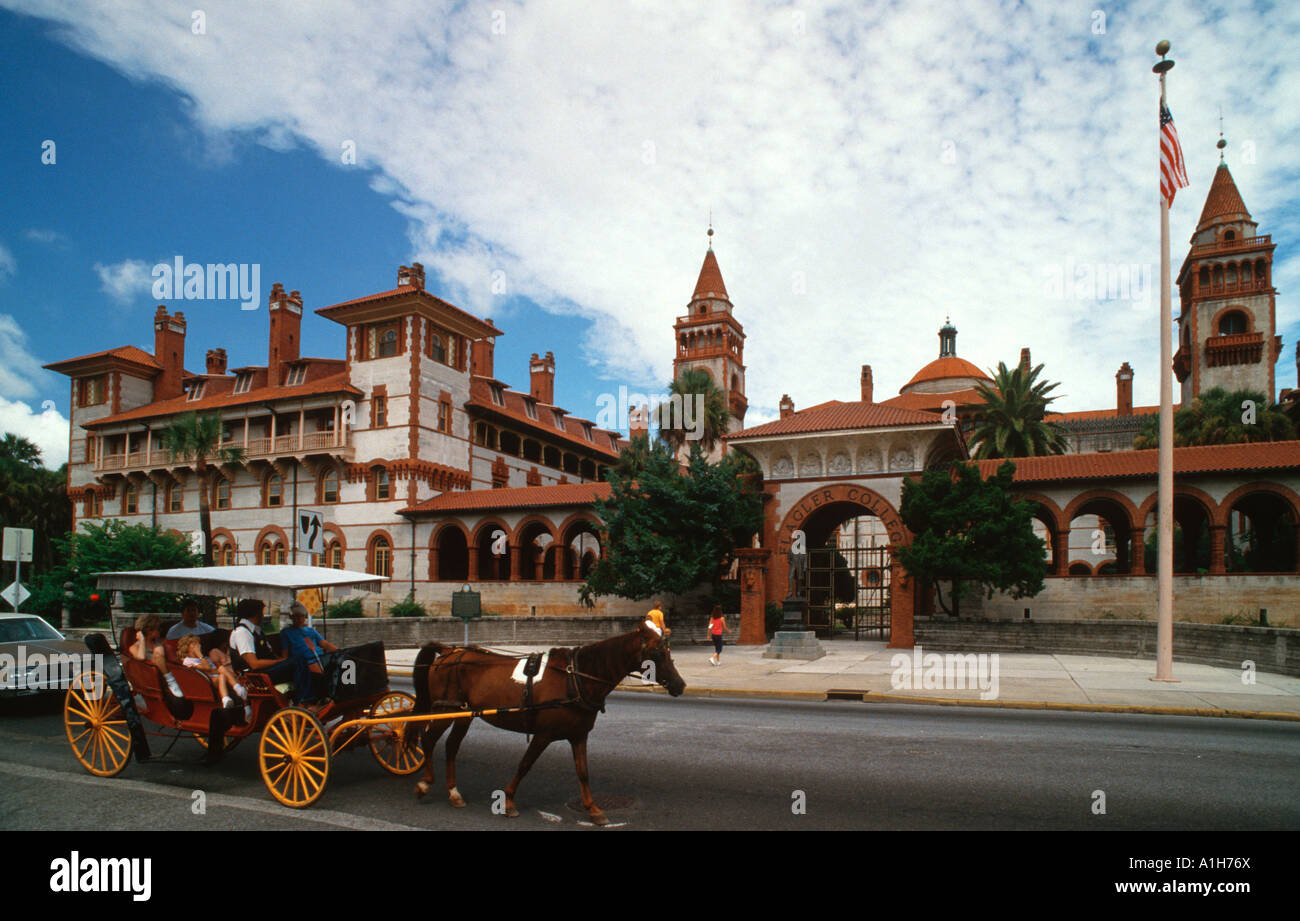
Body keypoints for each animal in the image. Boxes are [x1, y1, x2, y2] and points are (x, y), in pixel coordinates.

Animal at [410, 619, 686, 827]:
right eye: (657, 653)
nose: (680, 685)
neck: (575, 677)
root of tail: (449, 651)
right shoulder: (543, 734)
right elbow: (525, 764)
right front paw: (508, 801)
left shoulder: (578, 735)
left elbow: (583, 772)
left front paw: (593, 809)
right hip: (445, 709)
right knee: (429, 739)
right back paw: (425, 784)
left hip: (463, 714)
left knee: (451, 747)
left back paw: (453, 792)